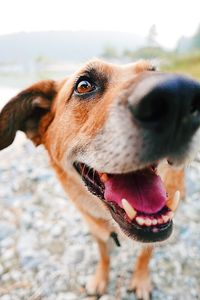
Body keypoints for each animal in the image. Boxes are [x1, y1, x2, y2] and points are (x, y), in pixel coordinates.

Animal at [0, 59, 200, 300]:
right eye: (84, 85)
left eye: (154, 71)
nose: (179, 94)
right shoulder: (96, 230)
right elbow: (104, 255)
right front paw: (100, 279)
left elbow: (145, 255)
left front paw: (141, 280)